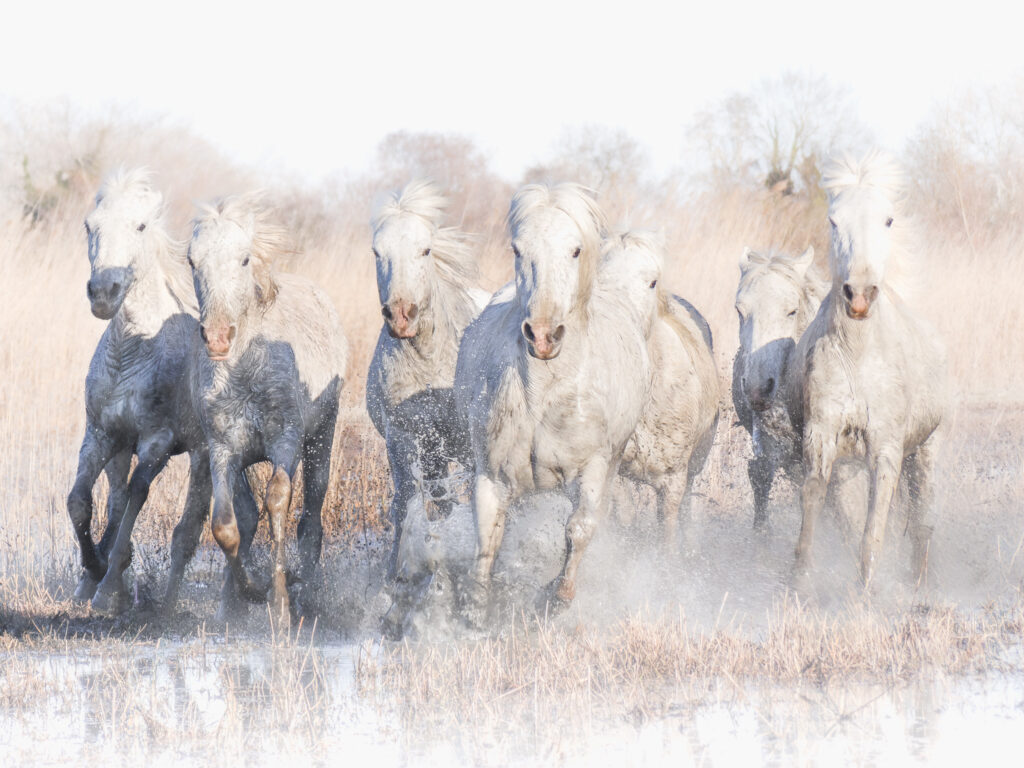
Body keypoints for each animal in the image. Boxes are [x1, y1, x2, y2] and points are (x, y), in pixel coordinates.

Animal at [68, 168, 258, 617]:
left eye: (139, 226)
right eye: (89, 225)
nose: (104, 292)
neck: (132, 350)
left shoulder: (157, 442)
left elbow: (137, 496)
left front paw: (108, 586)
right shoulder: (101, 434)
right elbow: (80, 501)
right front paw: (92, 571)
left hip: (205, 456)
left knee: (193, 531)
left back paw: (189, 605)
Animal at [187, 195, 348, 622]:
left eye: (244, 259)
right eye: (192, 260)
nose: (218, 337)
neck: (246, 370)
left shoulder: (285, 440)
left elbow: (277, 500)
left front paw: (279, 602)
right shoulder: (223, 449)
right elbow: (226, 526)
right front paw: (250, 592)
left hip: (321, 435)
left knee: (311, 516)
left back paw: (304, 588)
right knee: (244, 515)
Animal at [365, 179, 488, 584]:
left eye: (426, 249)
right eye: (377, 251)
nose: (402, 315)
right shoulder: (403, 436)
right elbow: (408, 501)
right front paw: (399, 572)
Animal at [453, 183, 653, 625]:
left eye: (575, 250)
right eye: (517, 249)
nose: (544, 335)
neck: (544, 393)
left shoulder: (593, 468)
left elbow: (580, 528)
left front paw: (555, 596)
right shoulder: (491, 474)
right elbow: (486, 539)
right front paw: (476, 610)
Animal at [794, 151, 949, 587]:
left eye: (888, 219)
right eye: (833, 220)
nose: (859, 296)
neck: (859, 354)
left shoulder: (886, 447)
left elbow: (873, 525)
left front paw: (864, 591)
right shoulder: (822, 434)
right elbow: (814, 500)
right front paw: (799, 582)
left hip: (926, 451)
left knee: (920, 520)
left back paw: (917, 584)